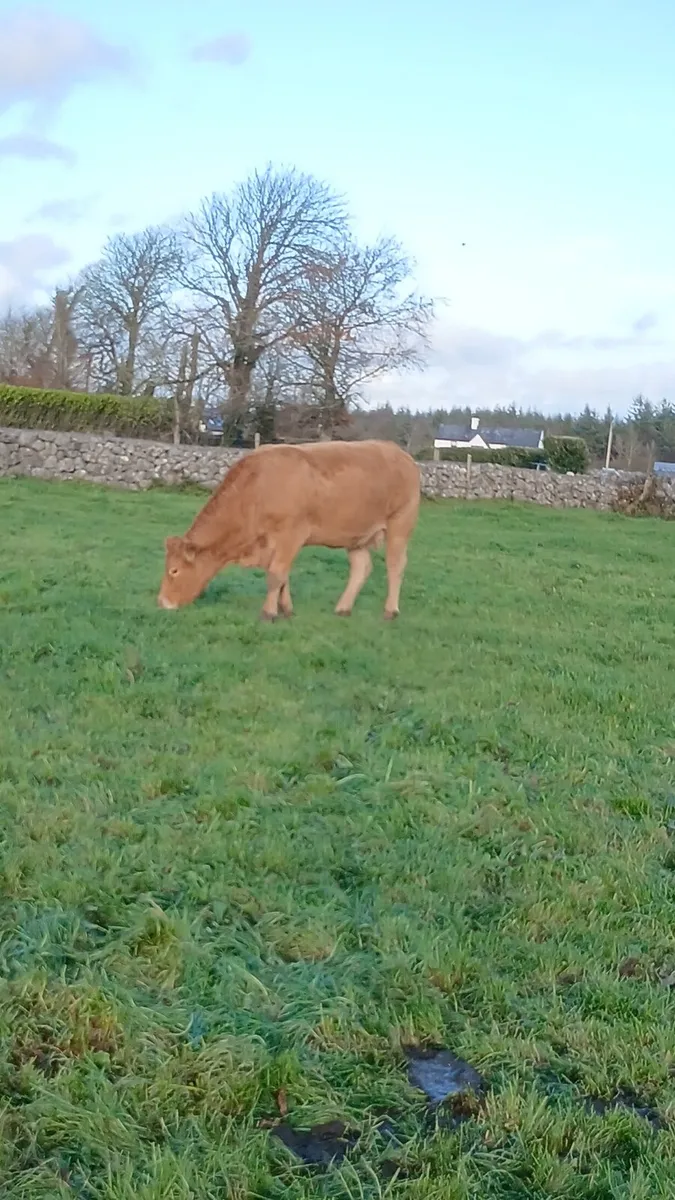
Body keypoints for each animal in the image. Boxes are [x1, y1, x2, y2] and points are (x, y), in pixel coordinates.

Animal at [157, 440, 420, 620]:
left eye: (174, 570)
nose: (162, 602)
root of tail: (398, 452)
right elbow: (282, 576)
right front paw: (285, 609)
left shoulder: (291, 535)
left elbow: (276, 574)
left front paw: (268, 613)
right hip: (356, 536)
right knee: (361, 568)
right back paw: (343, 608)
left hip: (400, 524)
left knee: (395, 566)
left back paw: (390, 611)